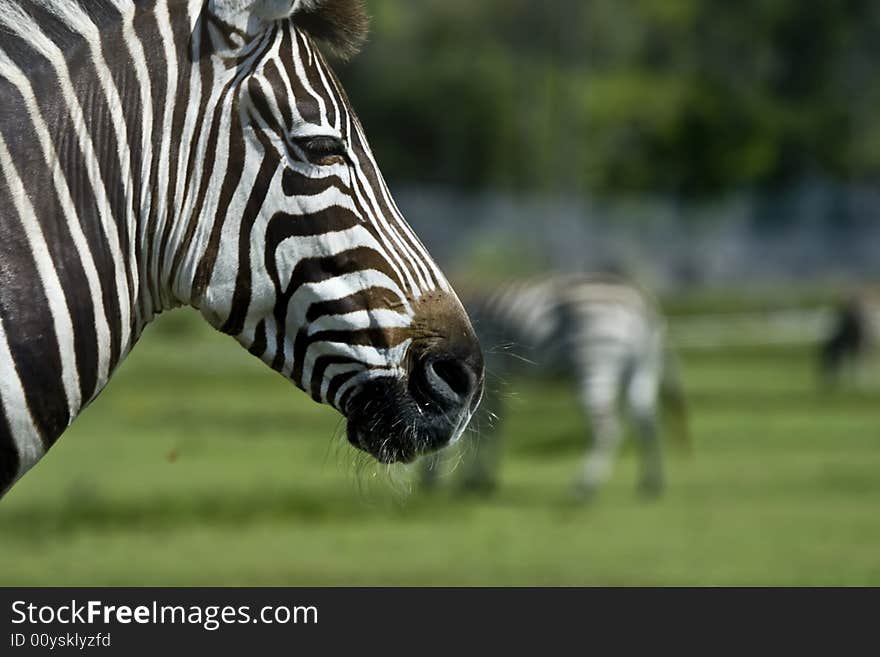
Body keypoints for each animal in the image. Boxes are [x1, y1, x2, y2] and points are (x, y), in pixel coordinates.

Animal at [422, 272, 688, 498]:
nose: (425, 487)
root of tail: (640, 298)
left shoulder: (490, 374)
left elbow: (480, 429)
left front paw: (474, 481)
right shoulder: (496, 380)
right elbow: (493, 426)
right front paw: (483, 480)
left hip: (595, 361)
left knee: (608, 427)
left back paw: (585, 487)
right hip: (643, 367)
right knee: (646, 419)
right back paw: (651, 484)